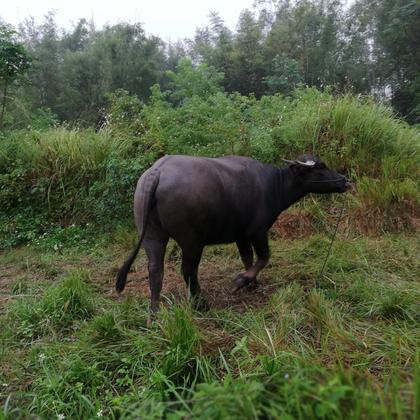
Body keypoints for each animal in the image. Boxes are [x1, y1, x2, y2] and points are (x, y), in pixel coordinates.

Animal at [114, 154, 352, 322]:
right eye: (321, 167)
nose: (346, 181)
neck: (274, 184)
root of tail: (157, 172)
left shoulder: (241, 235)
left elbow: (248, 258)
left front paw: (252, 282)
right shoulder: (257, 231)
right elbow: (264, 256)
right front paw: (242, 280)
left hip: (152, 235)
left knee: (155, 271)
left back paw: (154, 315)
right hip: (191, 240)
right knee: (188, 270)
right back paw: (200, 303)